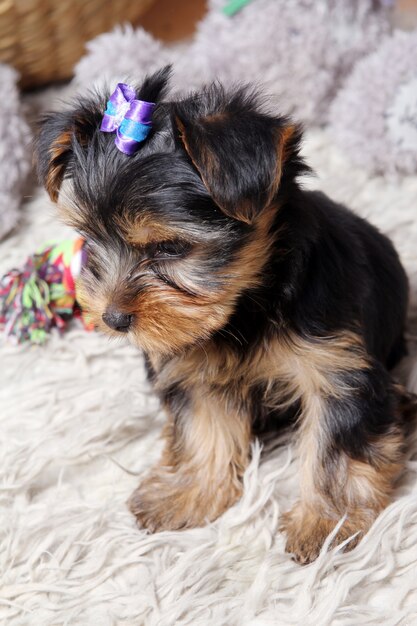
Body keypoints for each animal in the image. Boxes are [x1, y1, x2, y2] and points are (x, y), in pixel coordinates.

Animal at [35, 67, 412, 560]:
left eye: (169, 247)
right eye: (89, 238)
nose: (112, 318)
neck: (245, 306)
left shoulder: (337, 369)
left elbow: (333, 446)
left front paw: (326, 525)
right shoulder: (191, 361)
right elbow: (205, 428)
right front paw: (189, 493)